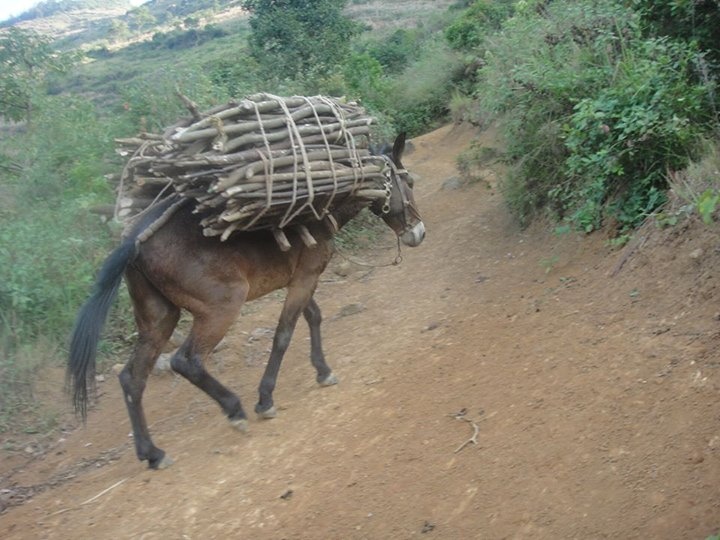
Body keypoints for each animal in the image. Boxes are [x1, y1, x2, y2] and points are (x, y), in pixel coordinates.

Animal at [67, 133, 425, 469]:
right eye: (408, 182)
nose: (419, 233)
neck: (323, 206)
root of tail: (135, 240)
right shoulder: (305, 278)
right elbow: (283, 334)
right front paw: (265, 399)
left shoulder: (298, 280)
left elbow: (313, 317)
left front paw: (322, 371)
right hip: (222, 308)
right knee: (186, 361)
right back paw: (234, 409)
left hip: (159, 318)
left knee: (132, 378)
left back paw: (153, 453)